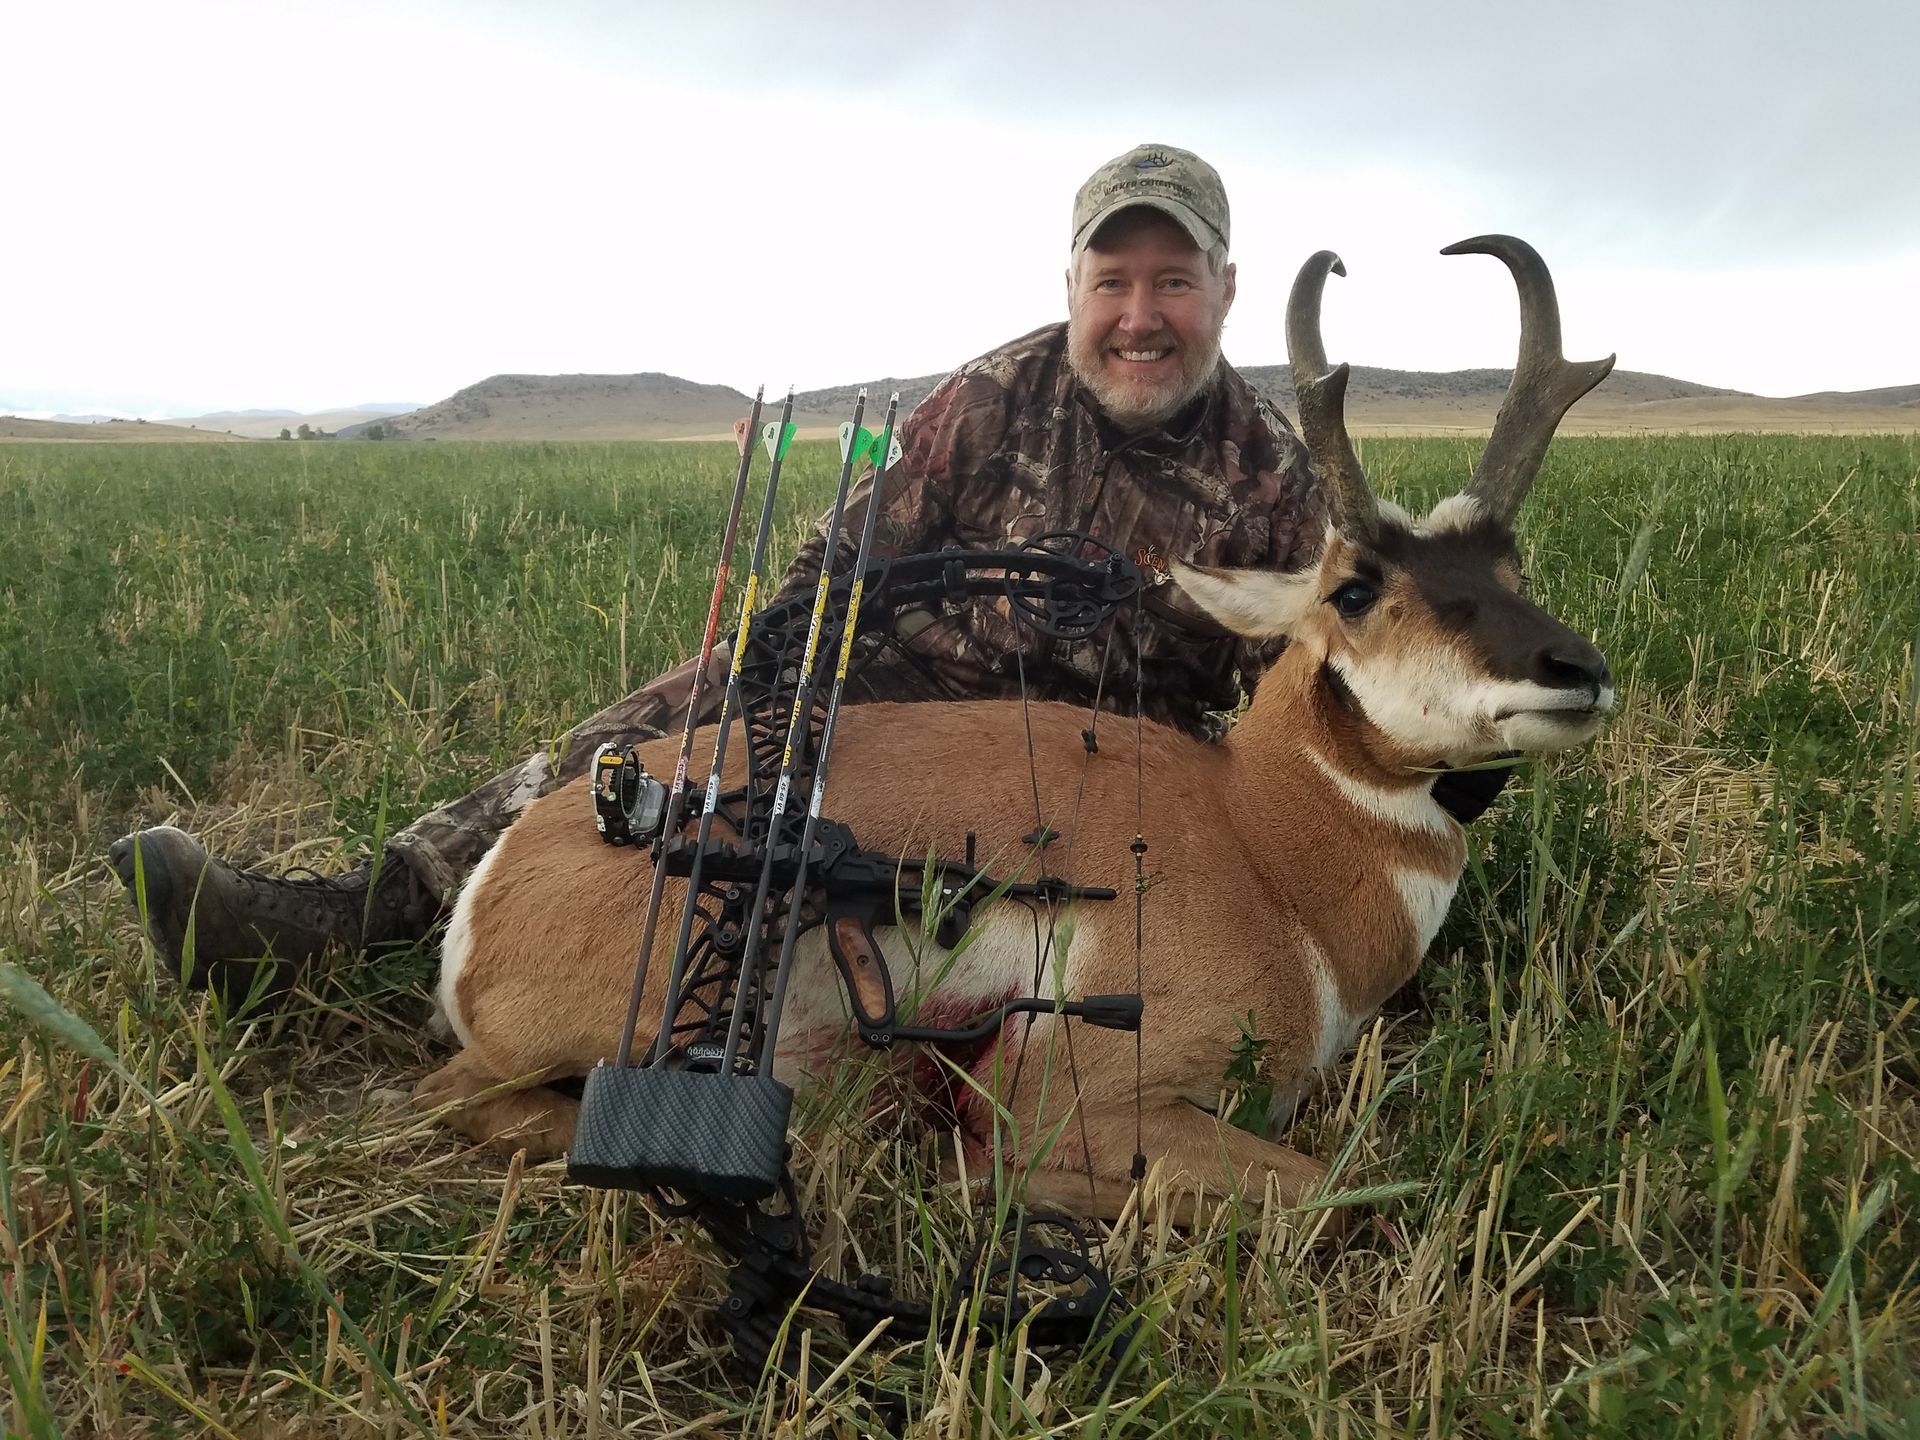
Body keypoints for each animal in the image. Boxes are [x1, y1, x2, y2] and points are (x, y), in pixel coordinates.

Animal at [416, 236, 1615, 1220]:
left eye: (1510, 567)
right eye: (1356, 589)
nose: (1580, 670)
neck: (1259, 839)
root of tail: (517, 858)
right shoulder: (1082, 1091)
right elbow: (1335, 1188)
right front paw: (986, 1178)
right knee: (457, 1094)